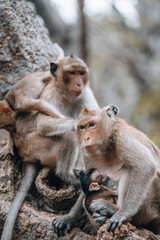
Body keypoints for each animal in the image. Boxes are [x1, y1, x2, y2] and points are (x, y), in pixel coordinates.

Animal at [0, 54, 99, 240]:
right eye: (72, 73)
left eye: (81, 73)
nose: (79, 83)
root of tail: (26, 157)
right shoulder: (51, 93)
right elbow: (43, 123)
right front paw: (75, 123)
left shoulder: (85, 94)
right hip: (37, 147)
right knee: (67, 136)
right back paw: (67, 174)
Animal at [75, 105, 160, 234]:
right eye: (82, 127)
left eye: (91, 125)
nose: (86, 138)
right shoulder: (87, 153)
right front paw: (68, 218)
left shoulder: (121, 136)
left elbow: (145, 165)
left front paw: (124, 212)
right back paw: (100, 218)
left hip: (149, 206)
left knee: (130, 170)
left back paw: (114, 210)